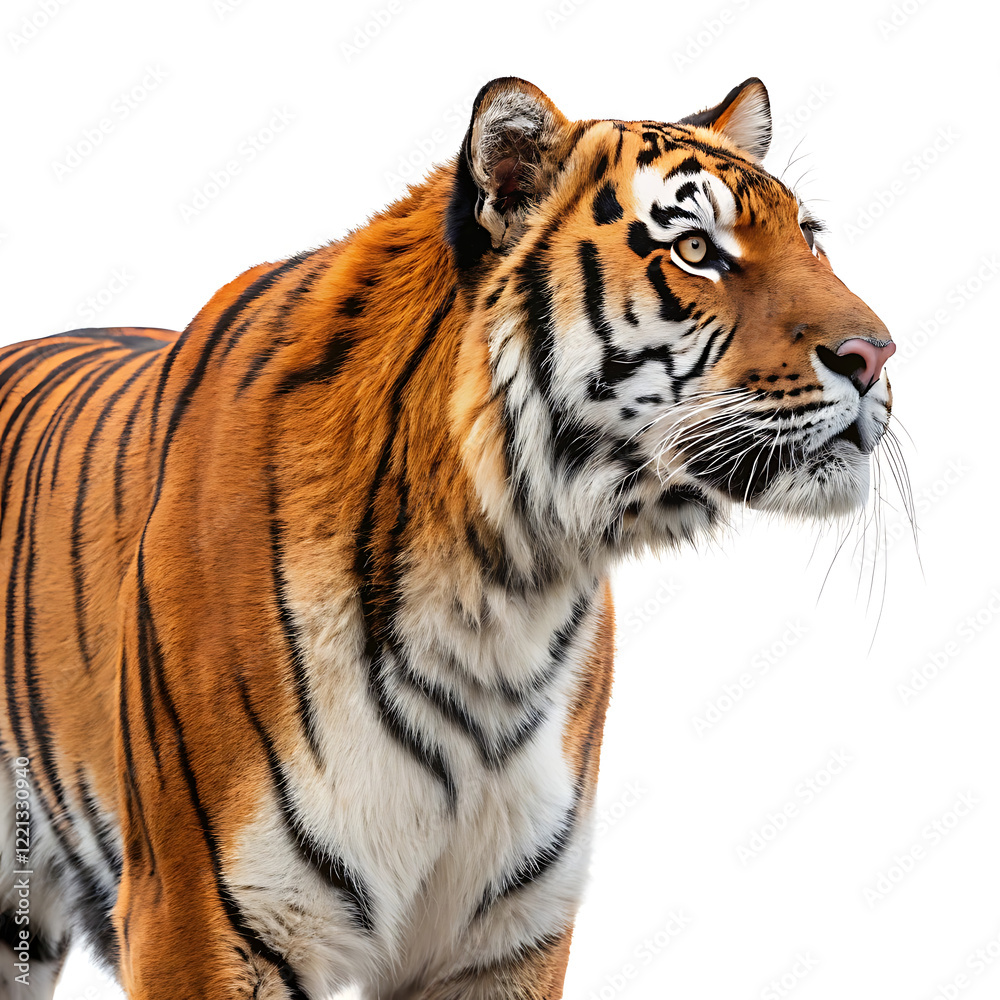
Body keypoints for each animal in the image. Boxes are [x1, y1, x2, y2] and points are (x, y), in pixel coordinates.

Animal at [0, 75, 896, 999]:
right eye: (693, 249)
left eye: (810, 238)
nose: (877, 354)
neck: (498, 586)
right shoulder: (200, 917)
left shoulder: (506, 935)